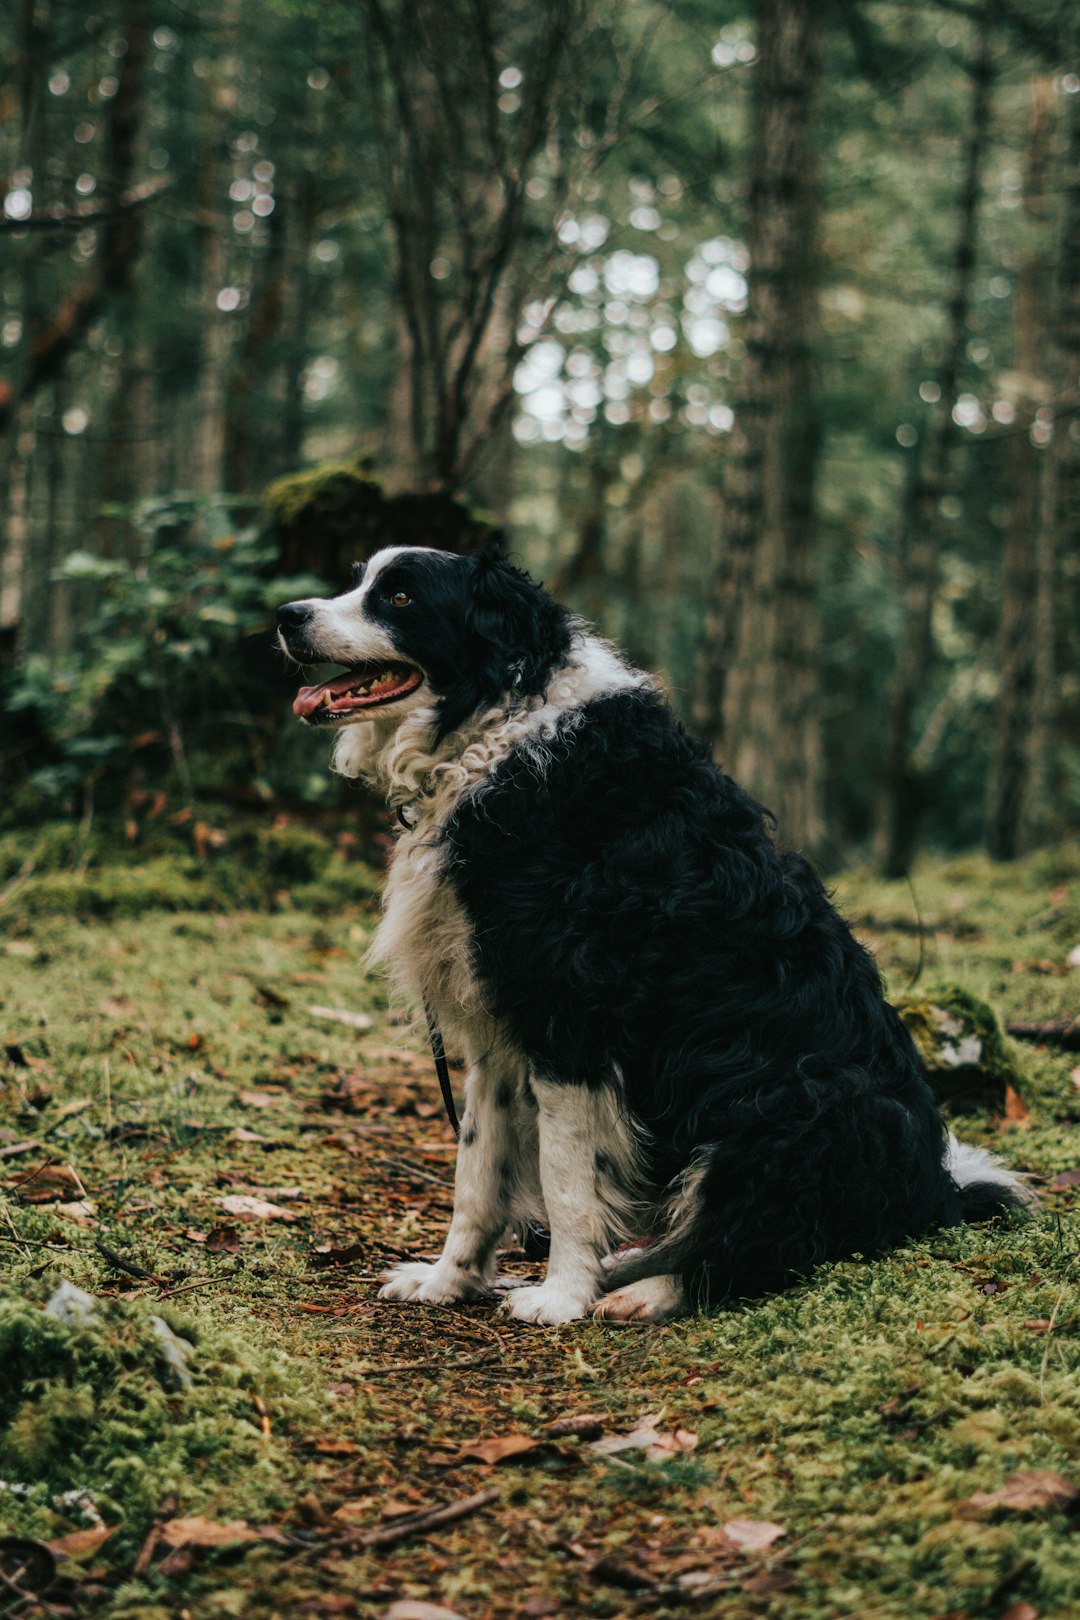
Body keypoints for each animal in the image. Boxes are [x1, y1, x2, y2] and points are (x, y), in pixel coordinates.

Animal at [278, 550, 1029, 1321]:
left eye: (399, 596)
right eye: (357, 578)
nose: (286, 615)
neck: (491, 732)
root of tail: (934, 1193)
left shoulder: (568, 1021)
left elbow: (566, 1179)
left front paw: (561, 1295)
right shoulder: (497, 1029)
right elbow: (476, 1174)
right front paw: (448, 1282)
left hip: (799, 1104)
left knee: (758, 1246)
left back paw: (645, 1290)